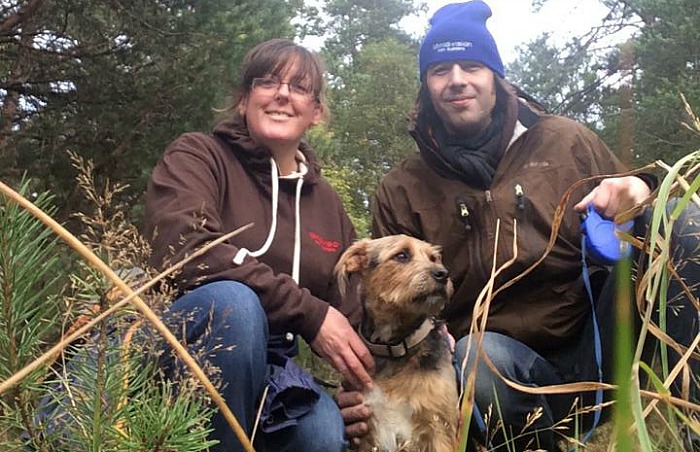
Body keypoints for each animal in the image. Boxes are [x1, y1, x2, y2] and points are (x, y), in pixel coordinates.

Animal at [334, 235, 456, 450]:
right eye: (401, 255)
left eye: (434, 258)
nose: (443, 274)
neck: (395, 347)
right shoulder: (368, 430)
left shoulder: (439, 428)